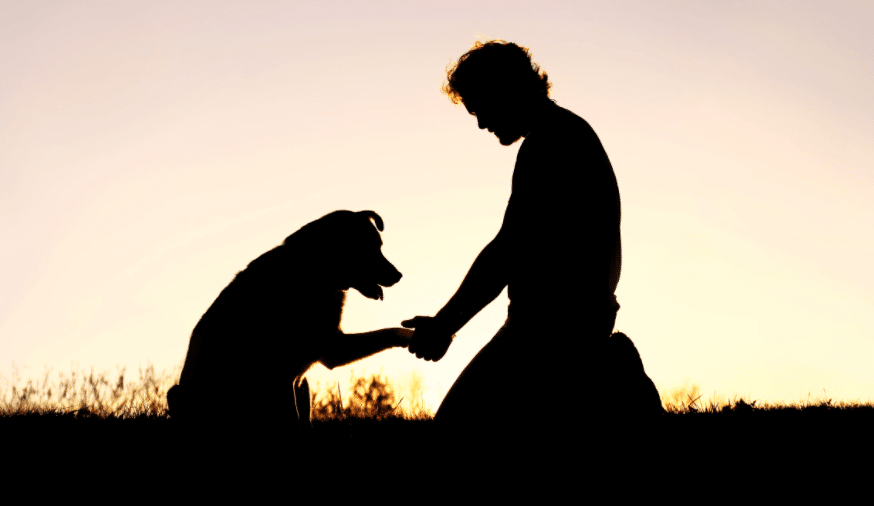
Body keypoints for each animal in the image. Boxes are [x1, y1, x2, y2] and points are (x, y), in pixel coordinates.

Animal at [167, 210, 412, 430]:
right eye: (369, 248)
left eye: (379, 246)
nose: (399, 275)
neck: (313, 278)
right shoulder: (281, 374)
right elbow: (291, 419)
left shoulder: (330, 348)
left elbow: (389, 331)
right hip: (180, 394)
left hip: (304, 386)